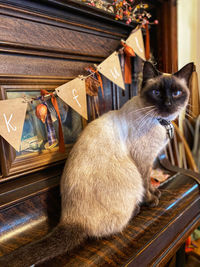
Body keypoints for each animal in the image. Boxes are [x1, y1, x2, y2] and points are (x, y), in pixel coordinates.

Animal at [0, 61, 194, 266]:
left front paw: (157, 192)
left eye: (176, 93)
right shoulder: (142, 160)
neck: (159, 122)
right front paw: (152, 200)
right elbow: (146, 184)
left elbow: (149, 182)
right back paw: (136, 209)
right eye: (156, 92)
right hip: (131, 173)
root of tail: (70, 220)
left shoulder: (150, 160)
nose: (168, 104)